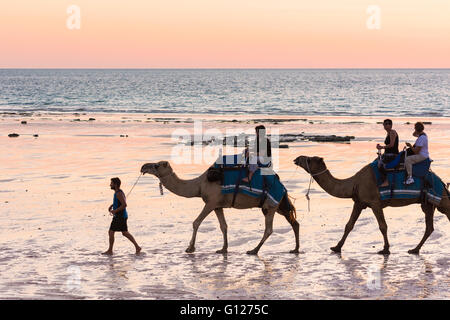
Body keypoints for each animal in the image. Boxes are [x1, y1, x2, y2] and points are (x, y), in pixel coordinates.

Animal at [139, 162, 298, 255]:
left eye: (156, 166)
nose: (143, 167)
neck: (199, 185)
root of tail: (283, 187)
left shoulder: (210, 202)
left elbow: (196, 222)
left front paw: (190, 248)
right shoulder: (217, 206)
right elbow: (223, 226)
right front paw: (223, 249)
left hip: (270, 205)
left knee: (269, 229)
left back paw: (254, 250)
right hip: (278, 205)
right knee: (294, 222)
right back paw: (295, 249)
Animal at [294, 156, 448, 255]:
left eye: (309, 160)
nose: (296, 158)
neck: (354, 183)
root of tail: (442, 182)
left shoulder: (375, 203)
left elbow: (383, 226)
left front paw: (385, 249)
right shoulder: (359, 202)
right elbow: (349, 225)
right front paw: (336, 247)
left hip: (439, 199)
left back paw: (415, 249)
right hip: (428, 204)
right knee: (429, 227)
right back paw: (414, 250)